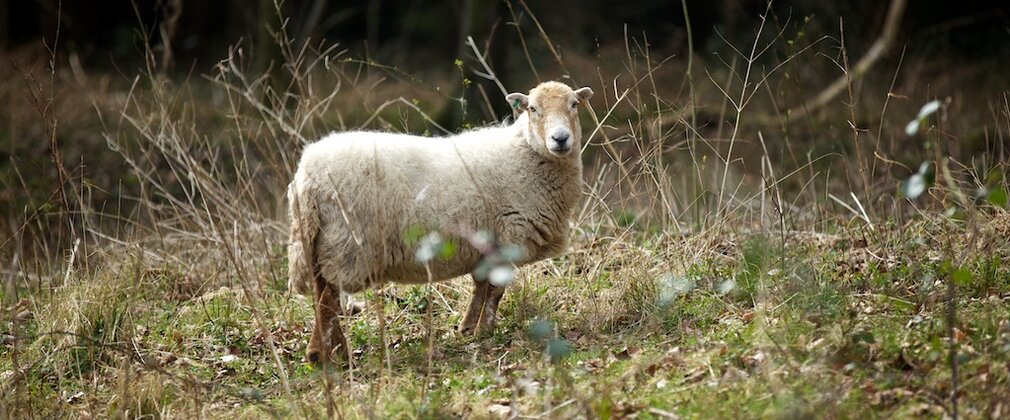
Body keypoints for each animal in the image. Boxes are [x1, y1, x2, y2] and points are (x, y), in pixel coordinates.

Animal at [287, 81, 594, 364]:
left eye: (574, 105)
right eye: (532, 109)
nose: (560, 139)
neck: (525, 153)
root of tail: (307, 177)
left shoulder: (486, 243)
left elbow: (481, 286)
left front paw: (468, 329)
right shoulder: (510, 234)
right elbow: (495, 290)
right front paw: (485, 330)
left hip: (321, 243)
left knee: (322, 294)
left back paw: (329, 350)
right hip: (346, 244)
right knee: (328, 298)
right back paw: (324, 354)